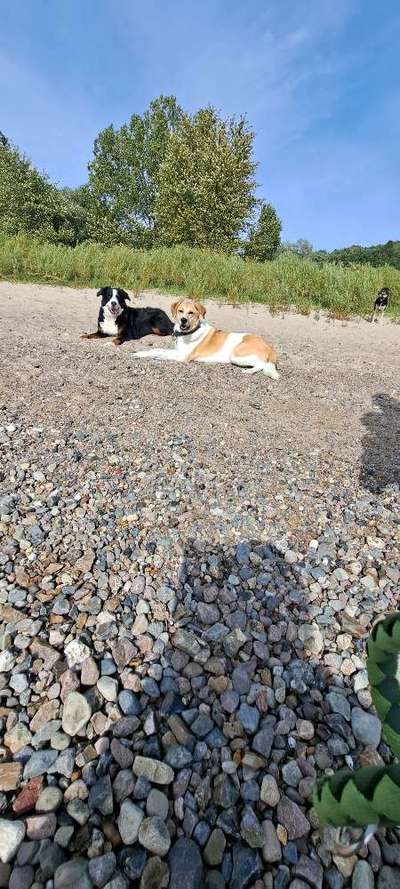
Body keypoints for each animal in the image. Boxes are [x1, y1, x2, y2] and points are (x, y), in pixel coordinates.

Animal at [133, 300, 280, 380]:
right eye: (180, 311)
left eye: (191, 313)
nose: (183, 320)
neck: (189, 332)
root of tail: (270, 347)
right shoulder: (177, 351)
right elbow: (156, 349)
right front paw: (140, 353)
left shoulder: (182, 356)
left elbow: (161, 353)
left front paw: (156, 357)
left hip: (236, 355)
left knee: (262, 364)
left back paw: (249, 371)